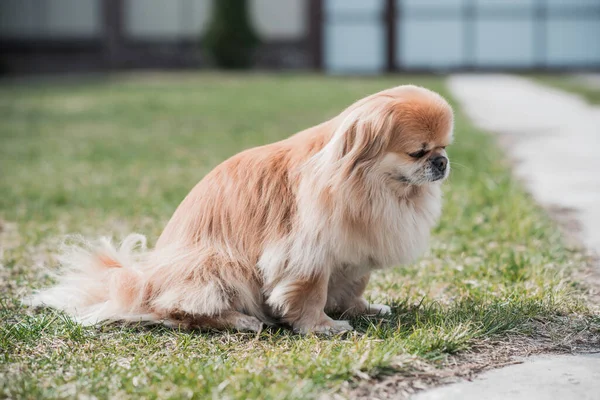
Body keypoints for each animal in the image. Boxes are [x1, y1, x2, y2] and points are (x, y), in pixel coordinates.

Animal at [27, 84, 450, 334]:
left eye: (445, 146)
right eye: (418, 152)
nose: (442, 162)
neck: (376, 188)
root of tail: (142, 285)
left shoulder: (354, 249)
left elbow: (354, 285)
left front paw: (362, 309)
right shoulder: (307, 252)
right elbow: (310, 293)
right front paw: (321, 326)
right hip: (218, 262)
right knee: (180, 310)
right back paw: (241, 320)